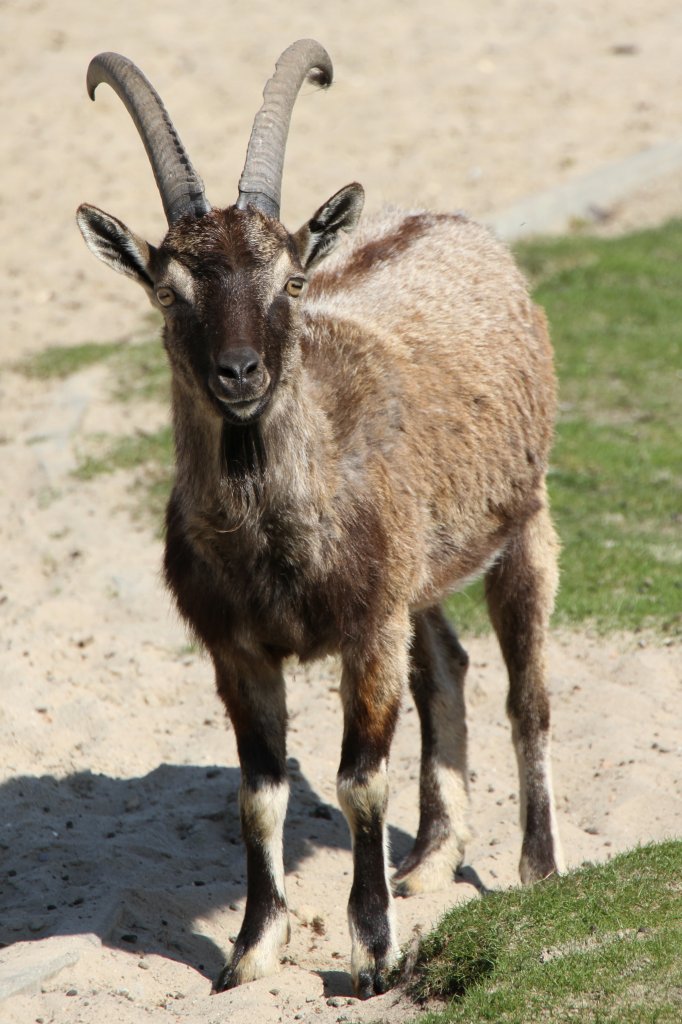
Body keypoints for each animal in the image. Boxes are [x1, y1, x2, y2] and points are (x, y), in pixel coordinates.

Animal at [75, 41, 561, 999]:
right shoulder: (237, 649)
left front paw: (373, 953)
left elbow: (358, 779)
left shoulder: (366, 629)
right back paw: (433, 860)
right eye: (167, 292)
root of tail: (448, 221)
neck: (276, 544)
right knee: (445, 666)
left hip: (522, 517)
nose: (239, 373)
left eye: (292, 279)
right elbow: (257, 794)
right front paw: (250, 950)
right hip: (419, 569)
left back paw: (536, 868)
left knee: (527, 691)